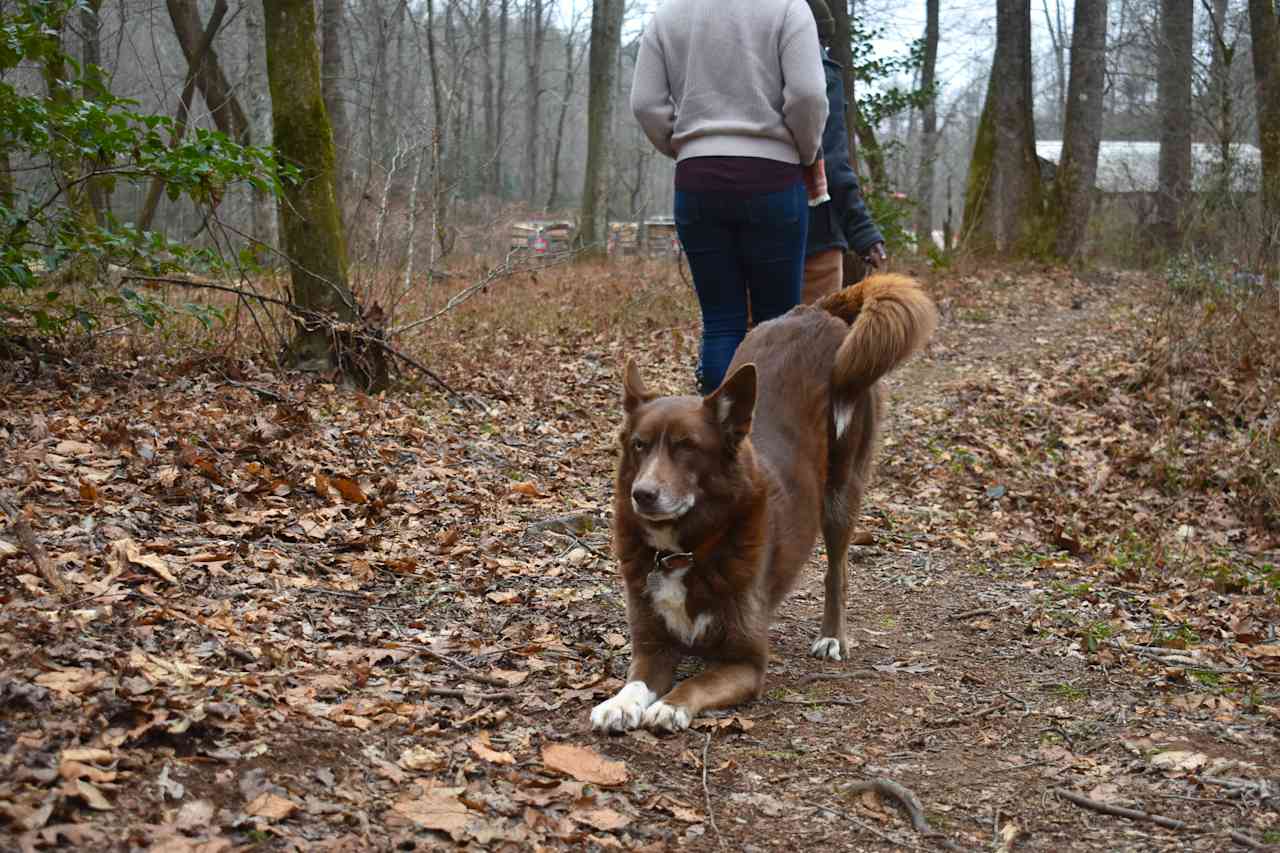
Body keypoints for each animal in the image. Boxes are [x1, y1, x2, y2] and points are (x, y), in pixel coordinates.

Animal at [591, 272, 942, 732]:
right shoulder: (652, 647)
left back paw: (832, 635)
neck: (685, 551)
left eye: (688, 447)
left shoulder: (746, 662)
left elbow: (696, 683)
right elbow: (636, 681)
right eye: (639, 445)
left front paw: (669, 706)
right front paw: (619, 703)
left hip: (841, 491)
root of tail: (815, 311)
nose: (643, 495)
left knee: (837, 571)